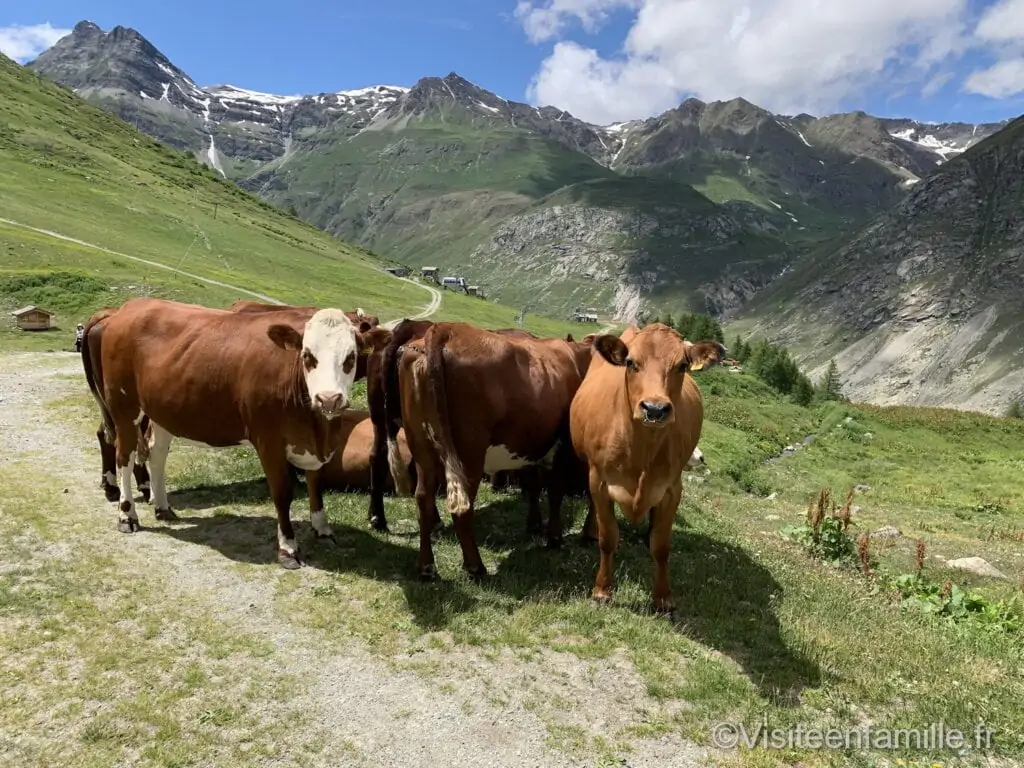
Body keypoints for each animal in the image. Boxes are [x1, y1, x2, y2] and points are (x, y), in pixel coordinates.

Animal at [90, 296, 391, 569]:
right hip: (123, 407)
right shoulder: (268, 440)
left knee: (157, 455)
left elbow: (315, 484)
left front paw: (322, 529)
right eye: (307, 356)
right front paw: (288, 548)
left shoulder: (312, 445)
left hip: (163, 410)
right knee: (125, 457)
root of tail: (126, 307)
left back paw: (163, 507)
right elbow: (283, 494)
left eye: (351, 357)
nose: (328, 399)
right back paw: (127, 515)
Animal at [393, 321, 598, 581]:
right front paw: (555, 536)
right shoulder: (563, 447)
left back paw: (426, 567)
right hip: (469, 452)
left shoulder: (531, 445)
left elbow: (534, 485)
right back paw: (475, 567)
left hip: (420, 444)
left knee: (423, 499)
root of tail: (446, 329)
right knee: (462, 509)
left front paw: (535, 526)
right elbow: (556, 491)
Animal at [569, 321, 729, 618]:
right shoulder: (599, 480)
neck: (642, 449)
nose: (655, 409)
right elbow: (608, 538)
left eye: (682, 365)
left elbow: (662, 546)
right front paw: (602, 591)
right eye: (631, 363)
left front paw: (663, 598)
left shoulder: (672, 489)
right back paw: (590, 531)